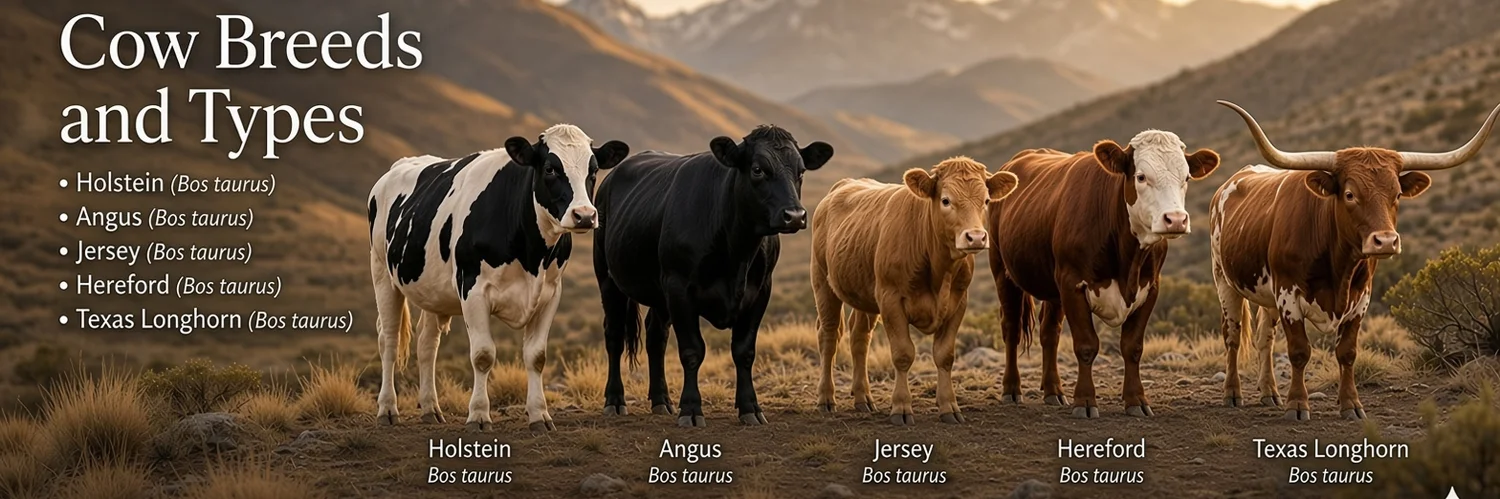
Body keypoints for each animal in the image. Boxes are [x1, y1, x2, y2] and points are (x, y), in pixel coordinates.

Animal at [367, 124, 628, 431]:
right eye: (550, 168)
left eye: (593, 170)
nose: (585, 215)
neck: (530, 253)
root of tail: (399, 166)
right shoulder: (473, 290)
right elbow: (483, 355)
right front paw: (479, 415)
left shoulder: (550, 293)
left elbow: (536, 356)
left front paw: (540, 415)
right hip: (381, 272)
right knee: (389, 339)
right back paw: (387, 409)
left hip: (431, 290)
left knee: (427, 344)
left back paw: (430, 409)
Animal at [595, 125, 832, 427]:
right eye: (757, 169)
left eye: (801, 171)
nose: (795, 215)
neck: (737, 252)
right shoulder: (679, 288)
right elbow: (692, 351)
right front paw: (691, 409)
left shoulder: (760, 291)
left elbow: (744, 351)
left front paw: (750, 408)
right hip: (608, 277)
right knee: (614, 334)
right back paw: (615, 400)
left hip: (658, 294)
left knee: (656, 336)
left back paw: (661, 401)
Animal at [810, 157, 1019, 425]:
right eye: (946, 200)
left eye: (986, 200)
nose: (975, 237)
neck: (939, 270)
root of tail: (843, 185)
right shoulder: (890, 299)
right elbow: (903, 354)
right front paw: (901, 407)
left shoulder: (958, 303)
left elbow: (945, 355)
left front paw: (949, 407)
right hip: (823, 282)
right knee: (829, 336)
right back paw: (826, 399)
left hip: (864, 292)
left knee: (859, 337)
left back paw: (863, 398)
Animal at [988, 131, 1221, 418]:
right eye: (1141, 176)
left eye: (1186, 177)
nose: (1176, 219)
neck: (1127, 260)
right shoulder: (1073, 283)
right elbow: (1087, 345)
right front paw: (1085, 401)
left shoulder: (1150, 288)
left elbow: (1132, 347)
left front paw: (1136, 400)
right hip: (1002, 271)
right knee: (1011, 328)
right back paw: (1011, 389)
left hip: (1053, 289)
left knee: (1049, 333)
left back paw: (1054, 391)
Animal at [1211, 100, 1499, 420]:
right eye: (1349, 194)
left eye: (1397, 194)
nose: (1385, 241)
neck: (1337, 265)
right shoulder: (1288, 293)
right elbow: (1299, 351)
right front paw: (1297, 404)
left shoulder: (1361, 297)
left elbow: (1347, 352)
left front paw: (1351, 404)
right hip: (1224, 280)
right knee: (1233, 336)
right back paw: (1232, 393)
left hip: (1266, 295)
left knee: (1264, 338)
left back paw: (1269, 392)